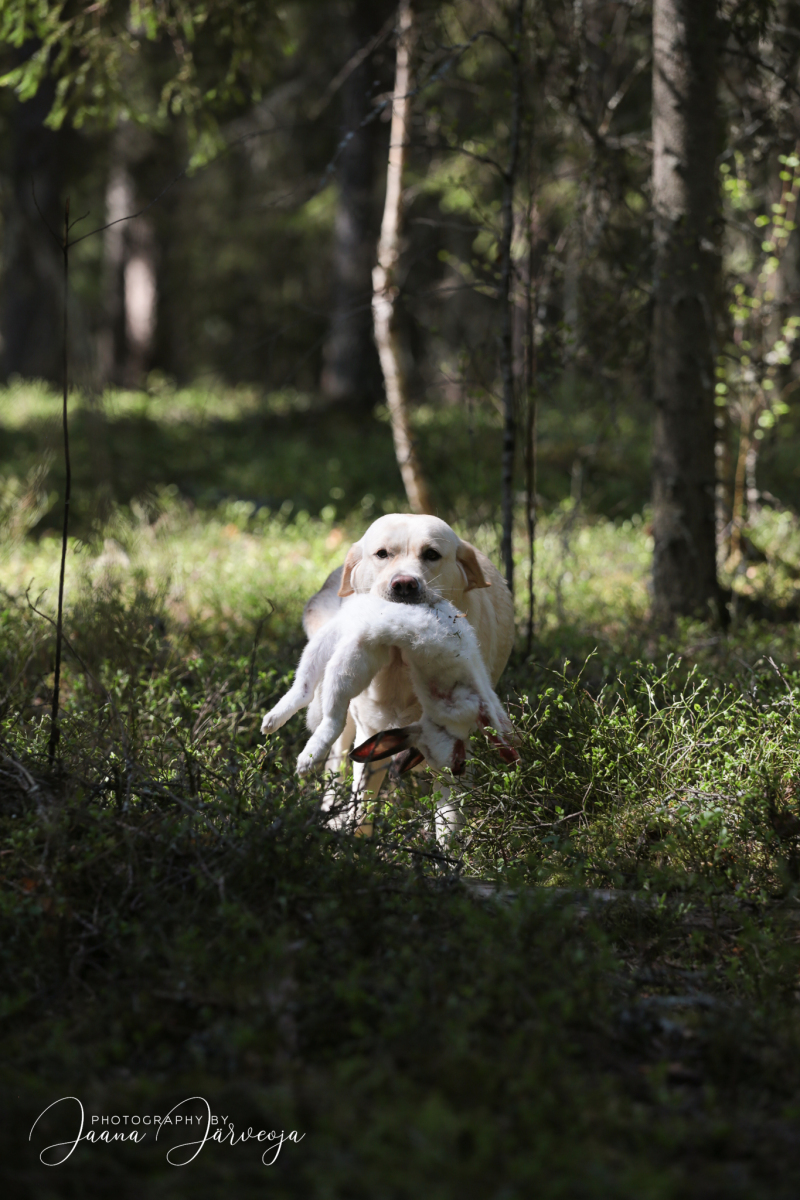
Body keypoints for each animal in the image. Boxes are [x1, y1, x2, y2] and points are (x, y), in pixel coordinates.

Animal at [261, 594, 517, 778]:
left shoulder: (484, 695)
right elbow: (492, 726)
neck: (439, 721)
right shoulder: (471, 703)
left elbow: (498, 721)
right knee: (334, 719)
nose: (458, 770)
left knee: (303, 688)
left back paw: (270, 722)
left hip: (327, 645)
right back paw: (307, 760)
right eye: (458, 760)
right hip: (352, 661)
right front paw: (512, 757)